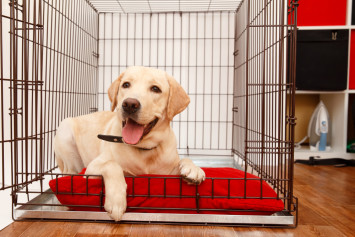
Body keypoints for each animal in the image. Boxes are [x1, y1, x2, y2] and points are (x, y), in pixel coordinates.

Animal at [54, 66, 207, 220]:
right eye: (126, 85)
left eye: (155, 88)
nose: (130, 104)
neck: (143, 149)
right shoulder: (92, 168)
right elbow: (112, 165)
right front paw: (116, 200)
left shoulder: (165, 173)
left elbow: (184, 160)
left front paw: (194, 169)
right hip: (65, 131)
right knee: (70, 174)